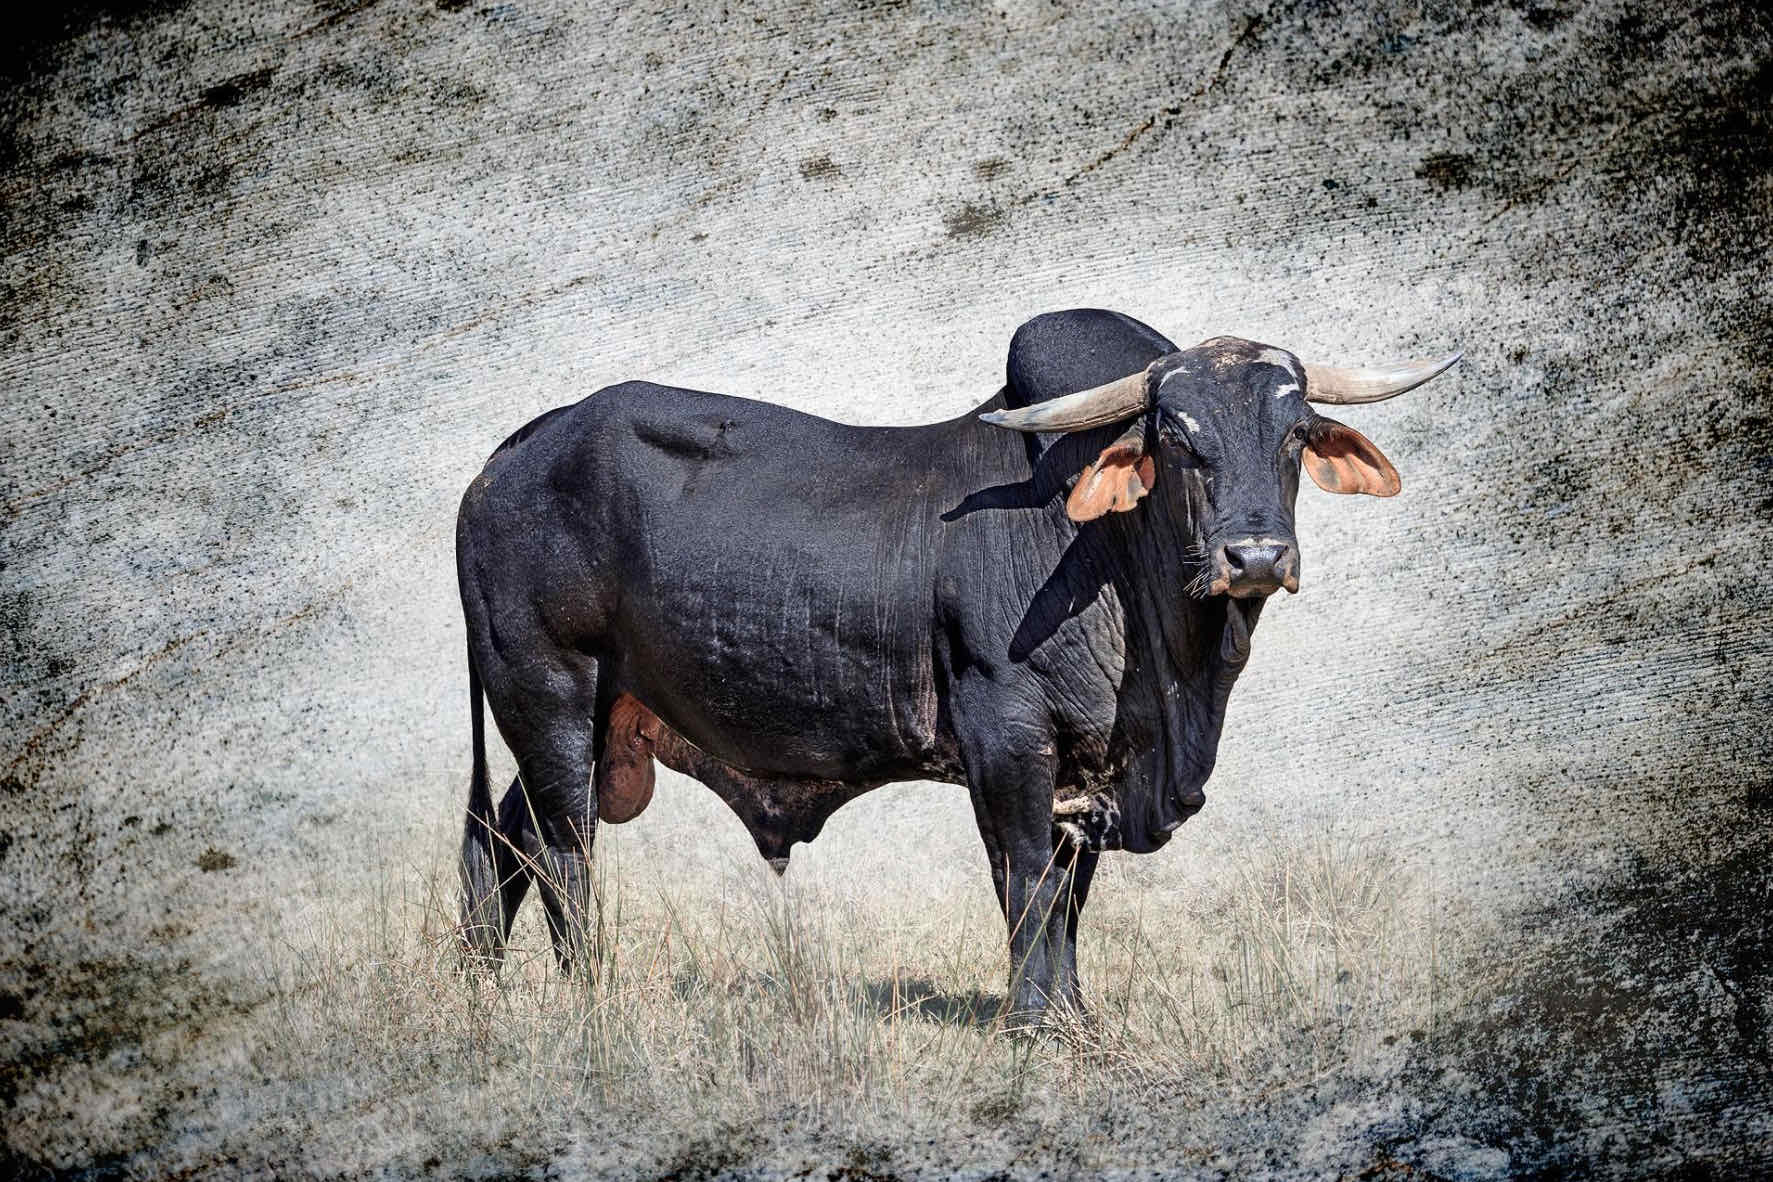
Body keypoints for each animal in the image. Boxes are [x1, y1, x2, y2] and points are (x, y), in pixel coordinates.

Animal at [454, 307, 1458, 1021]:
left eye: (1293, 433)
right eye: (1176, 436)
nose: (1254, 556)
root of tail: (516, 450)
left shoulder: (1085, 772)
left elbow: (1068, 896)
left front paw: (1074, 1014)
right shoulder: (1004, 739)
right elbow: (1025, 880)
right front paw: (1034, 1020)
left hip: (589, 722)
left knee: (499, 841)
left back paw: (479, 990)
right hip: (549, 695)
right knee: (560, 850)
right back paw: (587, 993)